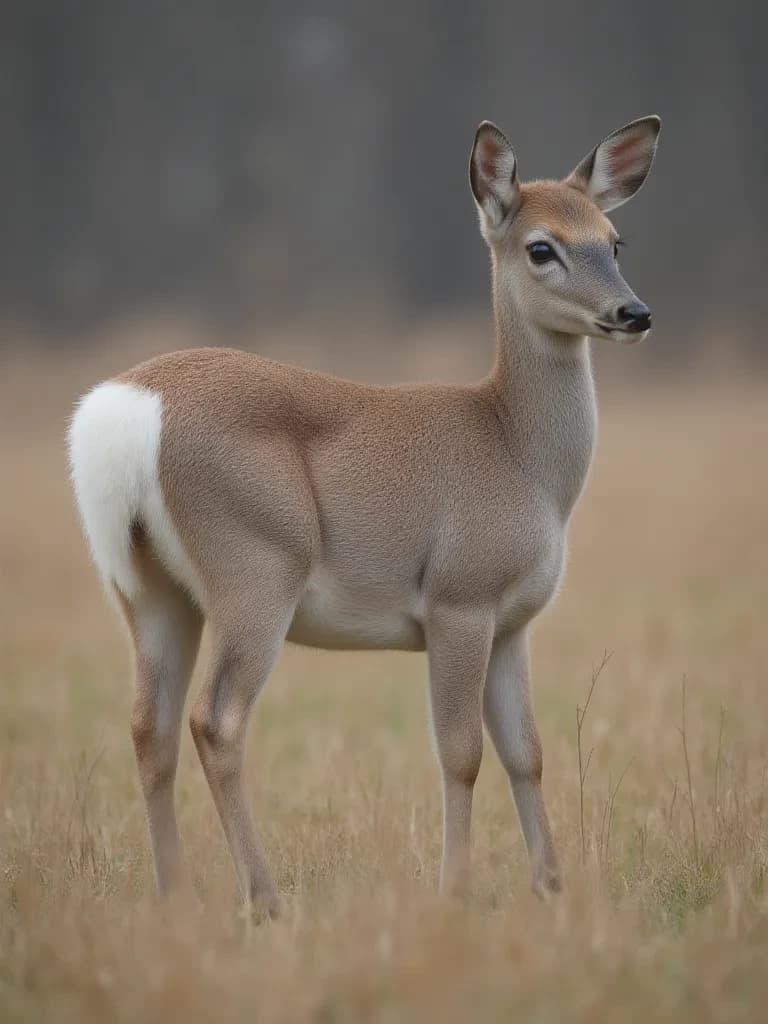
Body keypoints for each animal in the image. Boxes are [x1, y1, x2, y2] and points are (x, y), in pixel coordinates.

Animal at [68, 115, 660, 916]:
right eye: (542, 247)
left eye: (614, 240)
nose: (634, 313)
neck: (516, 453)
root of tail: (123, 414)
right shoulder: (460, 596)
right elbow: (462, 753)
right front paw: (456, 890)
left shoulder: (513, 621)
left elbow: (527, 753)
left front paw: (550, 888)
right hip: (257, 563)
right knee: (215, 720)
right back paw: (264, 899)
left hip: (146, 587)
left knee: (148, 725)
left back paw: (176, 896)